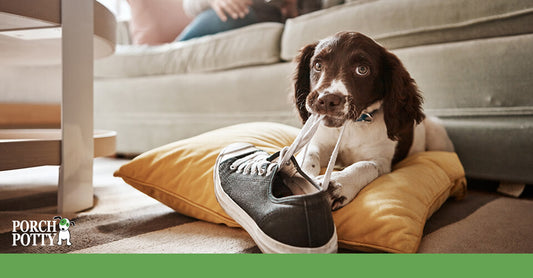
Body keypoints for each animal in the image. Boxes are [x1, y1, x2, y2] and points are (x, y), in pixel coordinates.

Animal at [294, 32, 450, 210]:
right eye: (318, 65)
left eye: (362, 70)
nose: (326, 100)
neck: (351, 126)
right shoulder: (321, 142)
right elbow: (309, 154)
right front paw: (299, 173)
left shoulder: (382, 162)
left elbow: (365, 166)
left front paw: (336, 185)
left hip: (437, 133)